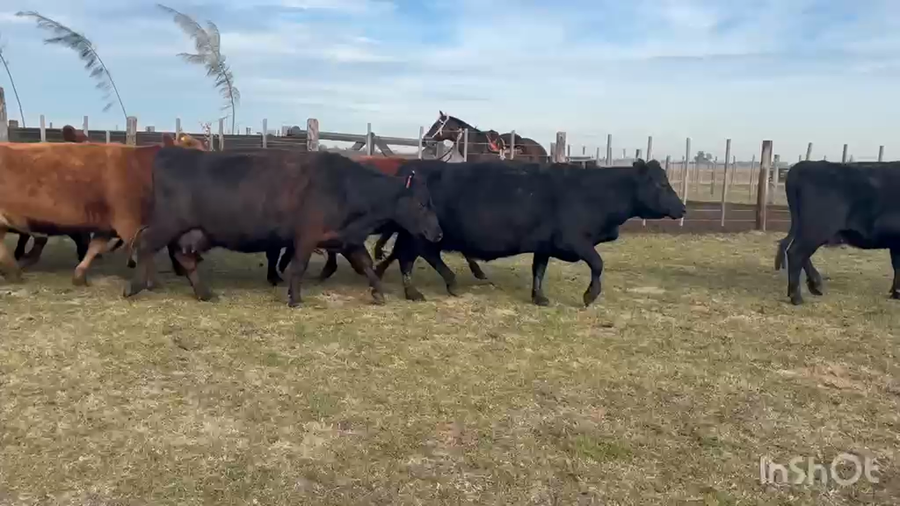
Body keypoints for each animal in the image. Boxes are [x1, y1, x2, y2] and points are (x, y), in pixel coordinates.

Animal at [122, 148, 443, 307]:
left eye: (430, 201)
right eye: (422, 204)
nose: (438, 233)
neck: (347, 187)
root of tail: (170, 154)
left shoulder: (347, 240)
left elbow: (365, 265)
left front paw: (378, 293)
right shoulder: (307, 236)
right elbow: (298, 266)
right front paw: (295, 299)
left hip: (195, 232)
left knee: (184, 258)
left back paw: (204, 293)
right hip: (168, 223)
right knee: (145, 243)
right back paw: (134, 286)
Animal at [373, 158, 686, 306]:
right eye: (661, 184)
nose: (683, 208)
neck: (593, 192)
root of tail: (412, 166)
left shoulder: (544, 244)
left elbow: (539, 270)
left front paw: (539, 297)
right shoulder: (574, 240)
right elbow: (598, 263)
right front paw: (590, 295)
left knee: (417, 255)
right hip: (419, 234)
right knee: (410, 257)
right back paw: (417, 290)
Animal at [774, 160, 900, 305]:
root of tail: (804, 164)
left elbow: (897, 266)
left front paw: (896, 292)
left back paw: (815, 285)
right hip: (817, 229)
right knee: (796, 253)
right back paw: (797, 297)